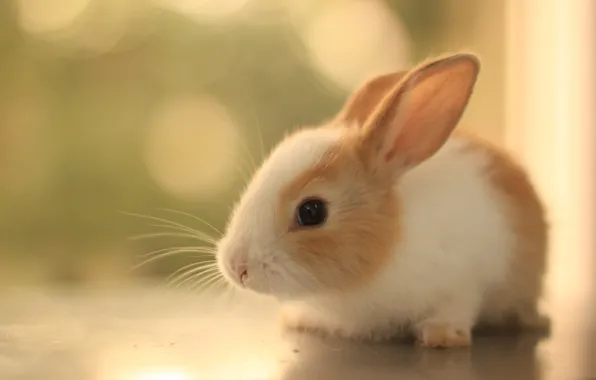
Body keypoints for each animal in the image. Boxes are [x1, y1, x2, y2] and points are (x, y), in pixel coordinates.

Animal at [215, 52, 548, 348]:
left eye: (312, 212)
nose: (236, 266)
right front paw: (299, 320)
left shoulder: (465, 281)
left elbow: (456, 307)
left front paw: (441, 336)